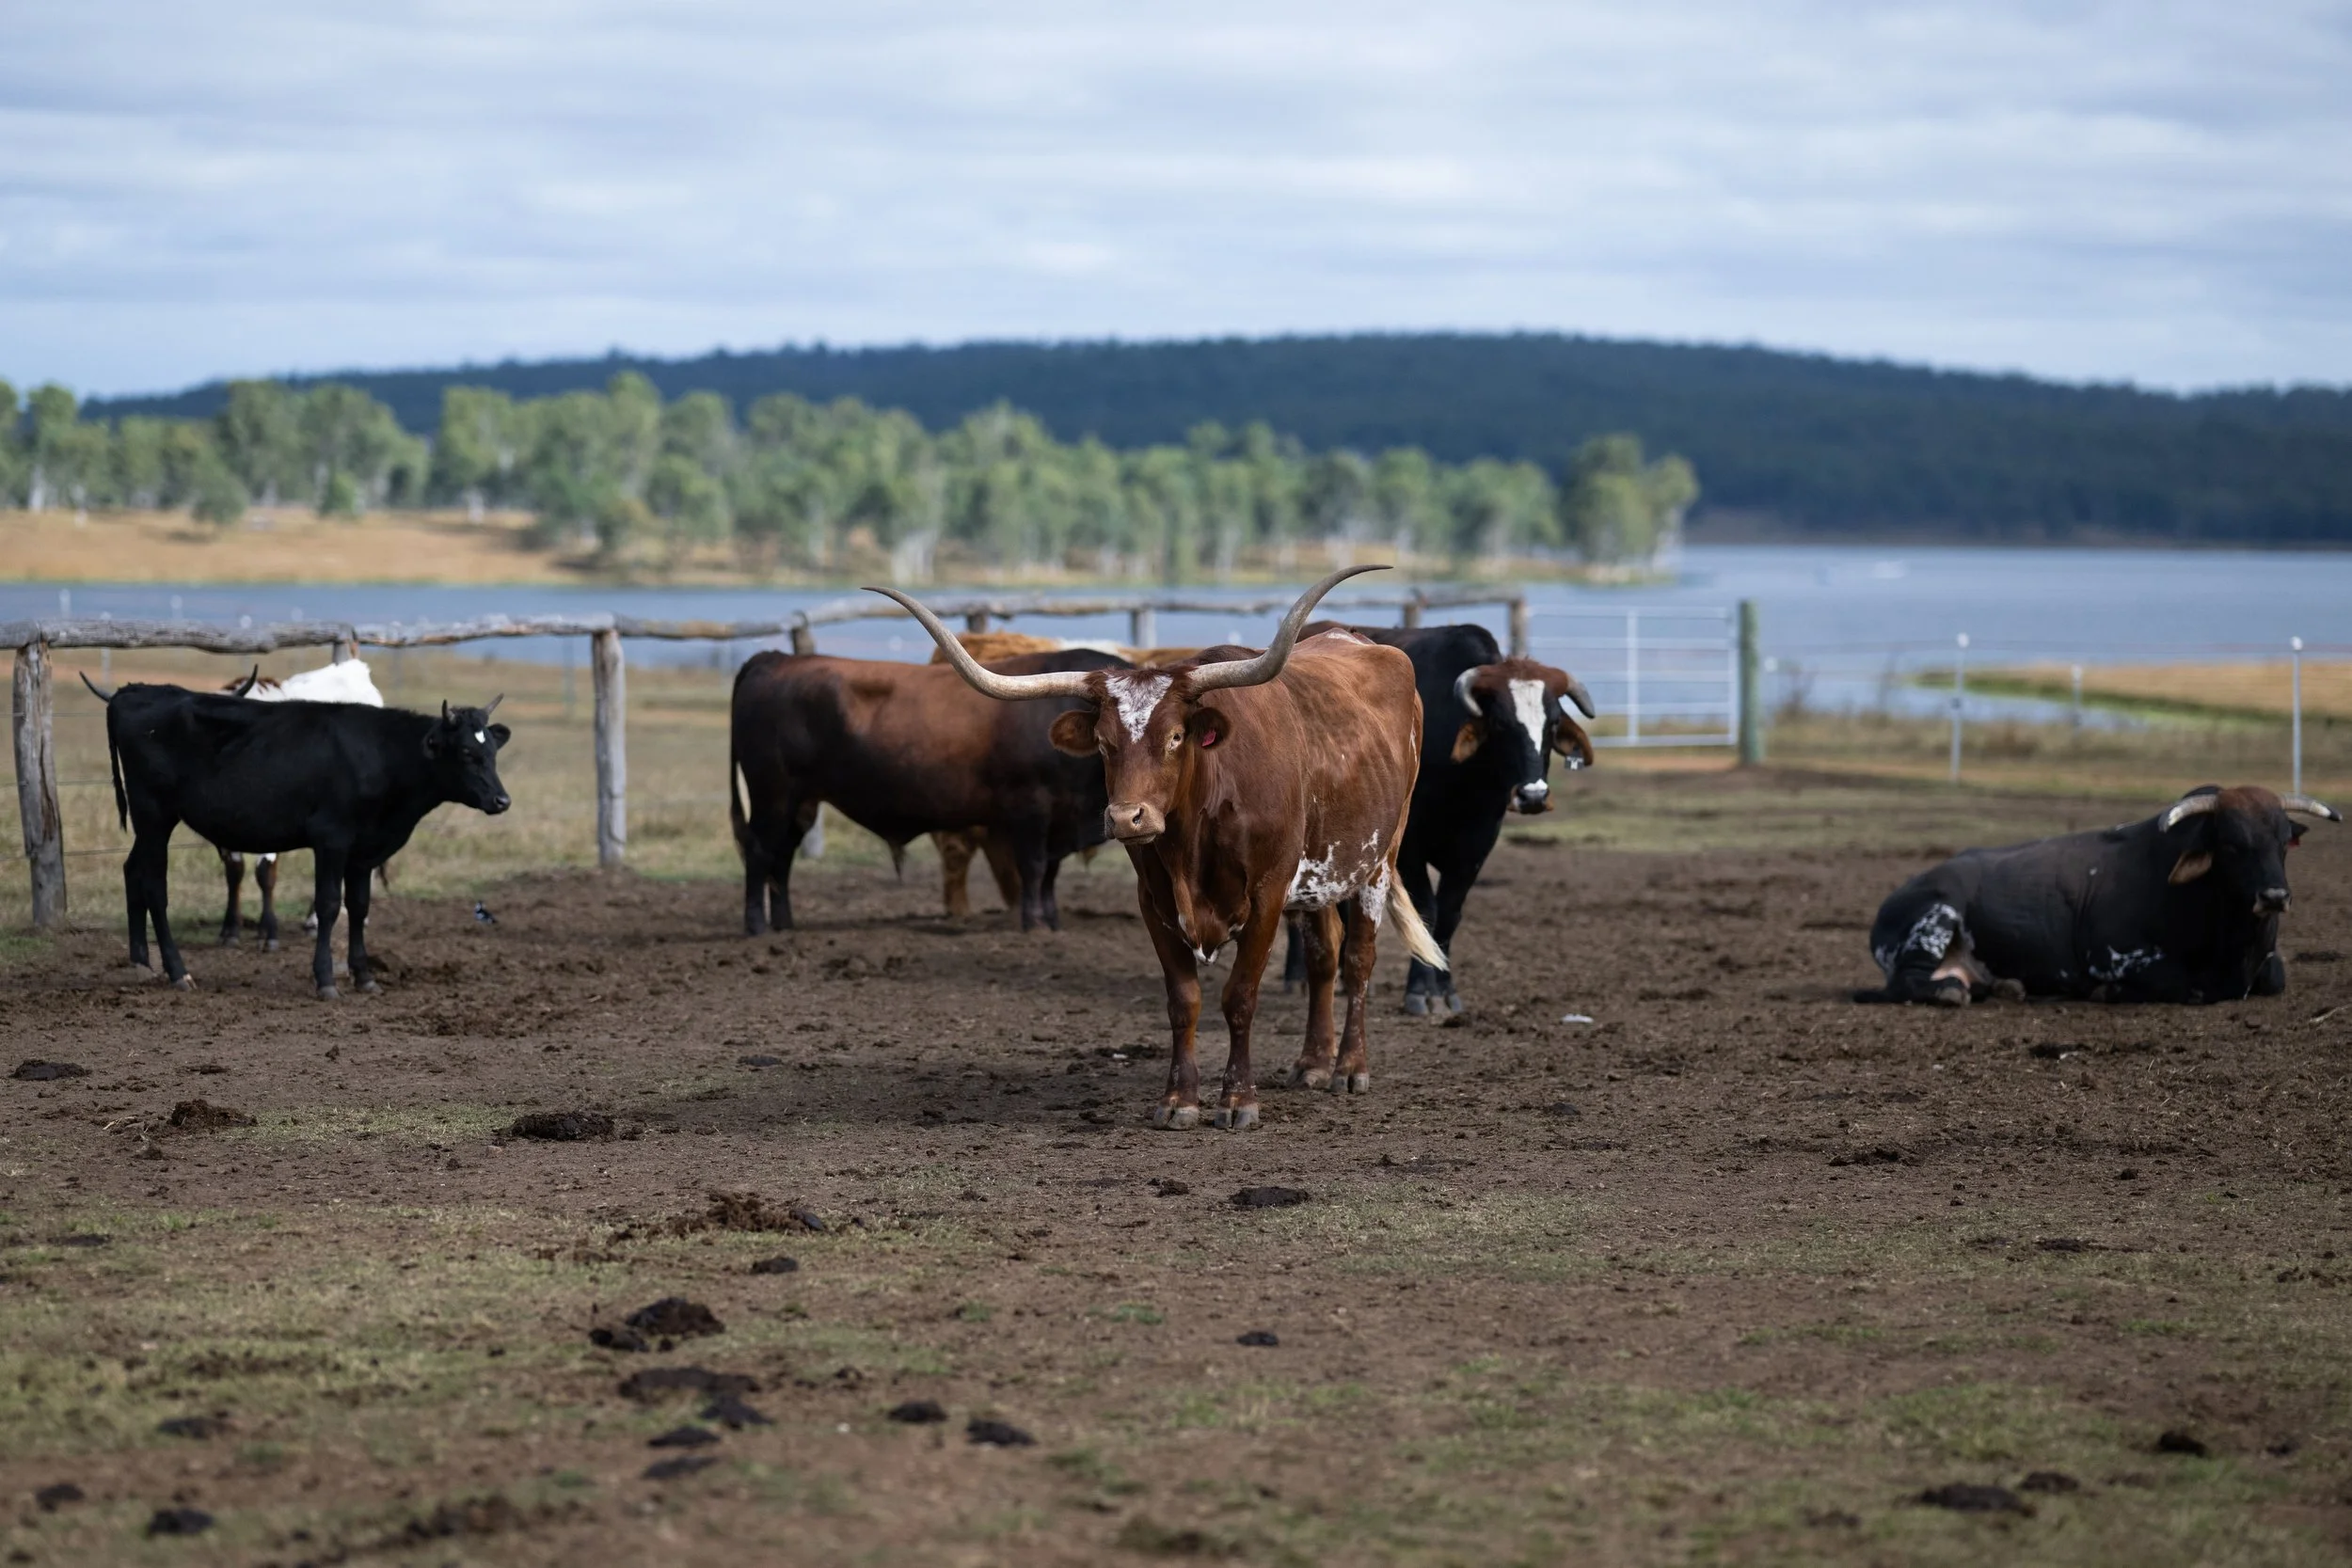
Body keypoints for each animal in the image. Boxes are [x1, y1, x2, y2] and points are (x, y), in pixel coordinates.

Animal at [728, 646, 1129, 933]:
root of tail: (775, 658)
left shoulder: (1060, 818)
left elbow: (1050, 872)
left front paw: (1053, 922)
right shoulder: (1030, 806)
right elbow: (1033, 867)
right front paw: (1034, 924)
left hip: (801, 803)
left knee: (781, 857)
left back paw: (784, 924)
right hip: (772, 796)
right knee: (759, 851)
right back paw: (757, 927)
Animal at [874, 565, 1448, 1132]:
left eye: (1175, 737)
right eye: (1103, 743)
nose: (1127, 817)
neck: (1194, 838)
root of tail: (1361, 640)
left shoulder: (1266, 896)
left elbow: (1240, 997)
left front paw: (1238, 1101)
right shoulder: (1155, 902)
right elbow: (1183, 1001)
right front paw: (1179, 1100)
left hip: (1378, 860)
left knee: (1358, 958)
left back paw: (1349, 1068)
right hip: (1315, 876)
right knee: (1324, 956)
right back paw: (1311, 1064)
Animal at [1282, 622, 1595, 1013]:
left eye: (1552, 725)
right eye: (1501, 723)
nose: (1533, 795)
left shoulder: (1478, 841)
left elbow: (1449, 911)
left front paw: (1445, 988)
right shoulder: (1409, 843)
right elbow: (1426, 908)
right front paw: (1419, 990)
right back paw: (1296, 978)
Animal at [1860, 784, 2340, 1006]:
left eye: (2283, 840)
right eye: (2231, 843)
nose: (2275, 895)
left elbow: (2274, 978)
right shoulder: (2111, 955)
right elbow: (2186, 985)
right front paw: (2108, 992)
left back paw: (2003, 987)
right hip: (1935, 915)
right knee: (1906, 983)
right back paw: (1950, 992)